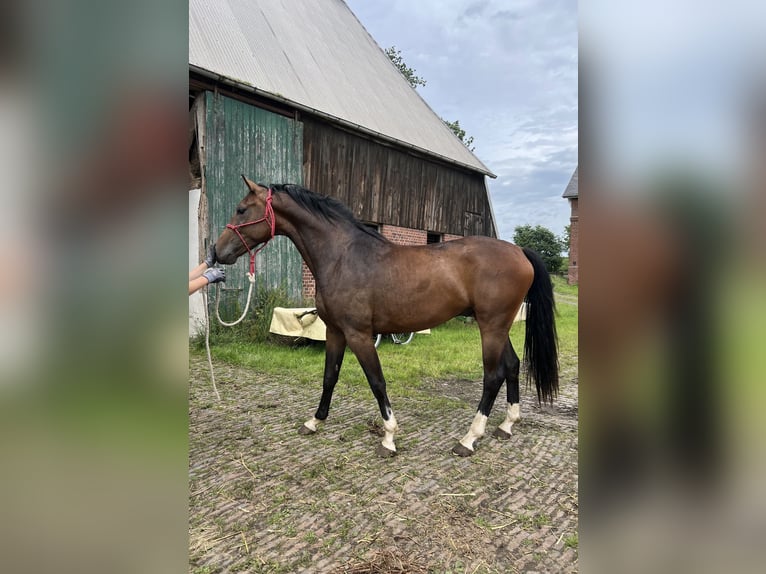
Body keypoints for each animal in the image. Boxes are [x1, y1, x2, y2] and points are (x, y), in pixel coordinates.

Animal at [213, 179, 560, 460]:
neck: (342, 257)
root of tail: (519, 252)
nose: (217, 252)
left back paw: (468, 439)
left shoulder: (359, 335)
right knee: (512, 365)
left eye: (242, 209)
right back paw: (507, 425)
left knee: (493, 376)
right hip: (498, 326)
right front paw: (315, 421)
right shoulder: (336, 332)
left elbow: (376, 381)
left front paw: (389, 438)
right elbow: (329, 377)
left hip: (490, 327)